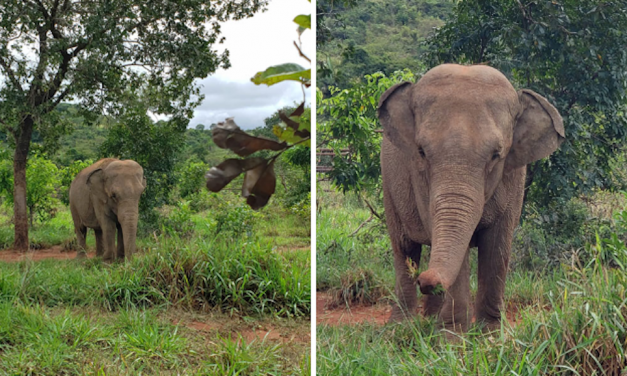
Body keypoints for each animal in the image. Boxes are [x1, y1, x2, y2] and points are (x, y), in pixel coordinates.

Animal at [380, 64, 568, 332]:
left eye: (496, 155)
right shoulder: (418, 179)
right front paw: (452, 337)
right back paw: (401, 327)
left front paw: (488, 335)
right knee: (405, 248)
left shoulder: (514, 175)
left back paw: (429, 320)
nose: (425, 280)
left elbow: (498, 244)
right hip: (388, 182)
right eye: (421, 152)